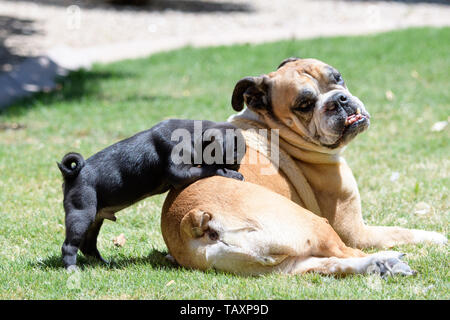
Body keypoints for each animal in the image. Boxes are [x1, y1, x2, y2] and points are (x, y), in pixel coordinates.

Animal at [59, 119, 246, 268]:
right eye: (234, 159)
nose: (238, 167)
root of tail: (73, 174)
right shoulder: (179, 173)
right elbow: (208, 169)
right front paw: (230, 174)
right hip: (81, 214)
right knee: (70, 245)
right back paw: (72, 268)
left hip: (95, 219)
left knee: (88, 246)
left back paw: (103, 263)